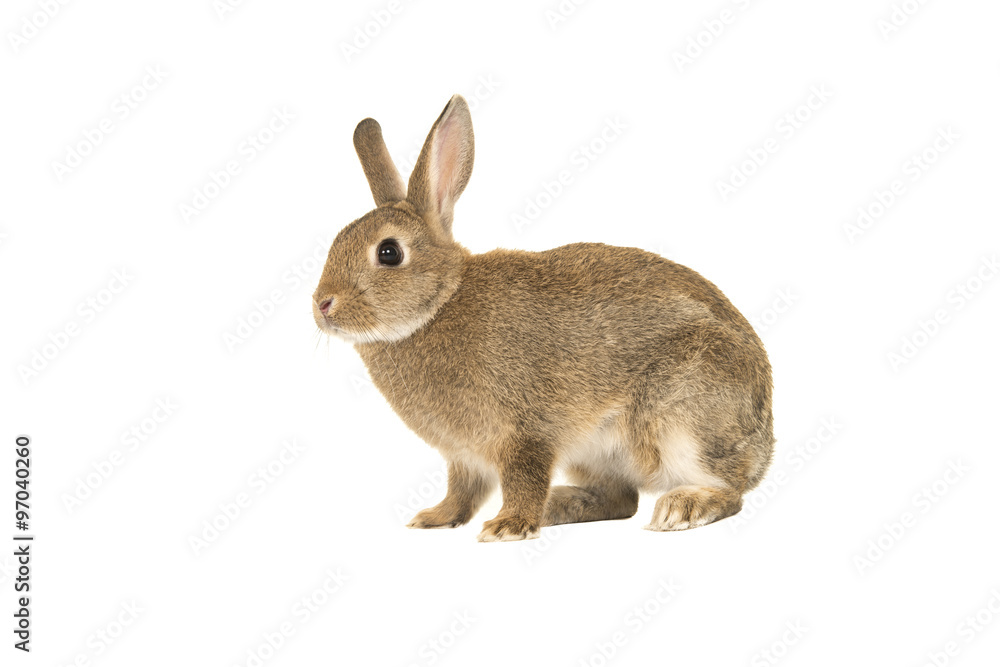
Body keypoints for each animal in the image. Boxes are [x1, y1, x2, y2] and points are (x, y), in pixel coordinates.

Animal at [313, 95, 774, 542]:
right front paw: (435, 519)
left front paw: (508, 527)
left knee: (728, 490)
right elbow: (462, 491)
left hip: (684, 419)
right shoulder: (463, 458)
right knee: (621, 500)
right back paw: (559, 505)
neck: (440, 304)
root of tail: (764, 439)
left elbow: (523, 478)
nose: (321, 304)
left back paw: (681, 508)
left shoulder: (525, 433)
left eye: (389, 252)